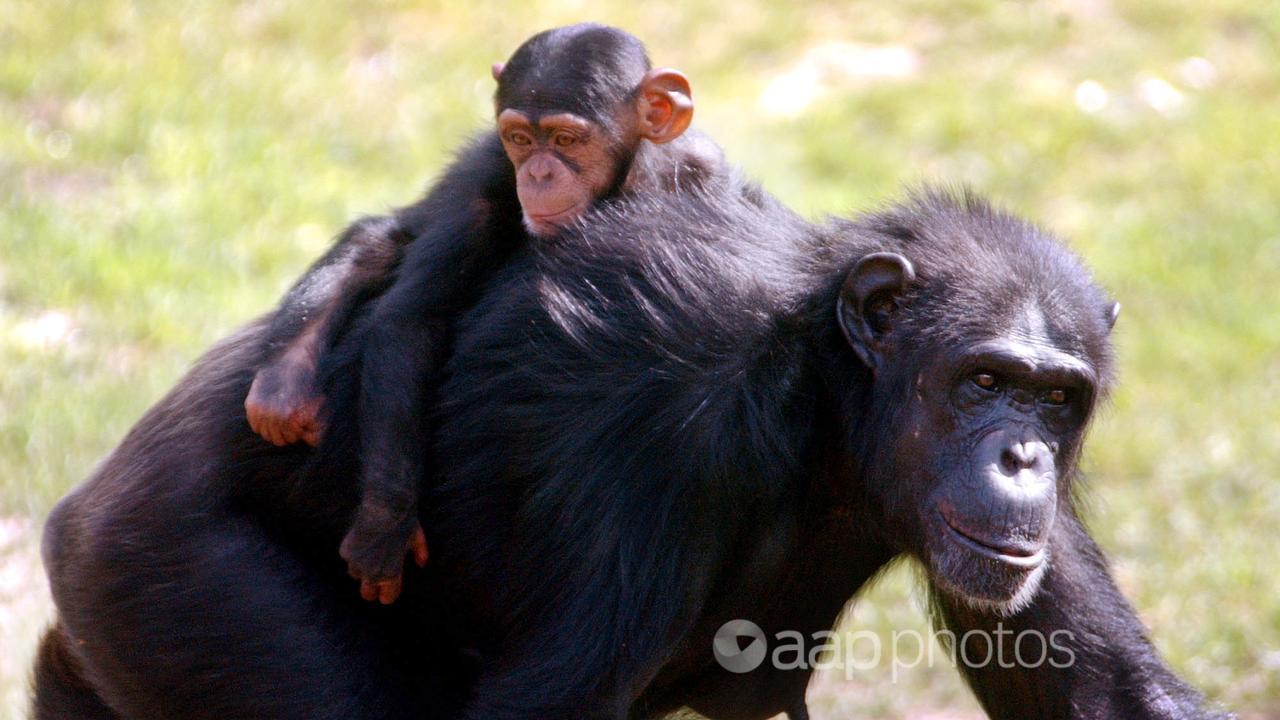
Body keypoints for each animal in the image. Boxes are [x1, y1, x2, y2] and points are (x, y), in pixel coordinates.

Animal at [35, 180, 1223, 717]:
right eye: (981, 381)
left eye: (1054, 399)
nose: (1021, 455)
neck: (827, 400)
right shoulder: (668, 424)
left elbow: (1110, 693)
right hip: (172, 575)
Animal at [235, 23, 727, 599]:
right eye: (519, 138)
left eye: (565, 139)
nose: (537, 173)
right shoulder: (486, 172)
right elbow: (412, 319)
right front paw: (385, 526)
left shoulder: (709, 177)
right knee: (379, 241)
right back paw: (286, 378)